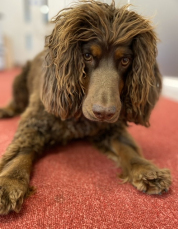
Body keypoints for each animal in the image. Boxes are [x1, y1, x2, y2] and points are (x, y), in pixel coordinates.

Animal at [0, 0, 171, 215]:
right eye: (88, 56)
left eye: (125, 60)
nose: (104, 113)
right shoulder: (35, 122)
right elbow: (21, 150)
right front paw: (9, 182)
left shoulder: (110, 129)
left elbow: (127, 147)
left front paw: (147, 169)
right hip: (19, 81)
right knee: (16, 103)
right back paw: (5, 110)